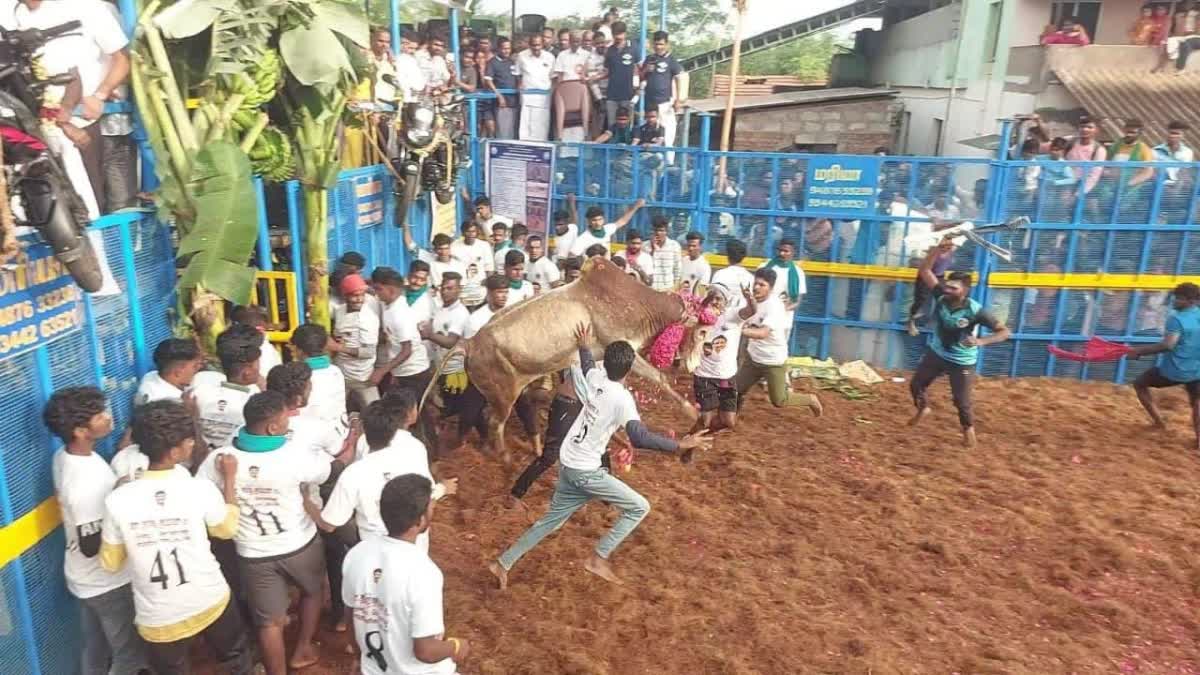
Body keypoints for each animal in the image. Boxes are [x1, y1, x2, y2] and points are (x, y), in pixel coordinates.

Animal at [422, 255, 705, 456]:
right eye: (702, 331)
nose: (693, 365)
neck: (635, 302)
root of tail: (469, 343)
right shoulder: (625, 350)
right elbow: (659, 378)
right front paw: (693, 413)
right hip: (503, 396)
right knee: (494, 422)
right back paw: (504, 457)